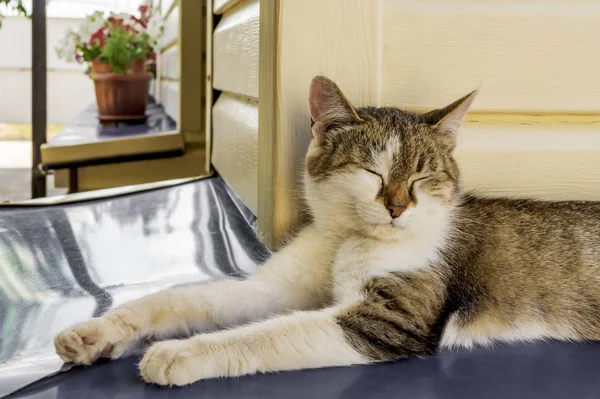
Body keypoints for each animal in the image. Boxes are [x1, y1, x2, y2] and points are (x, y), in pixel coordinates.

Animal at [54, 76, 600, 388]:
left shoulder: (389, 318)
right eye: (371, 172)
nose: (397, 207)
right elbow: (185, 298)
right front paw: (96, 332)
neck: (346, 239)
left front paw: (177, 354)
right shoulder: (274, 286)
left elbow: (270, 332)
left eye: (422, 178)